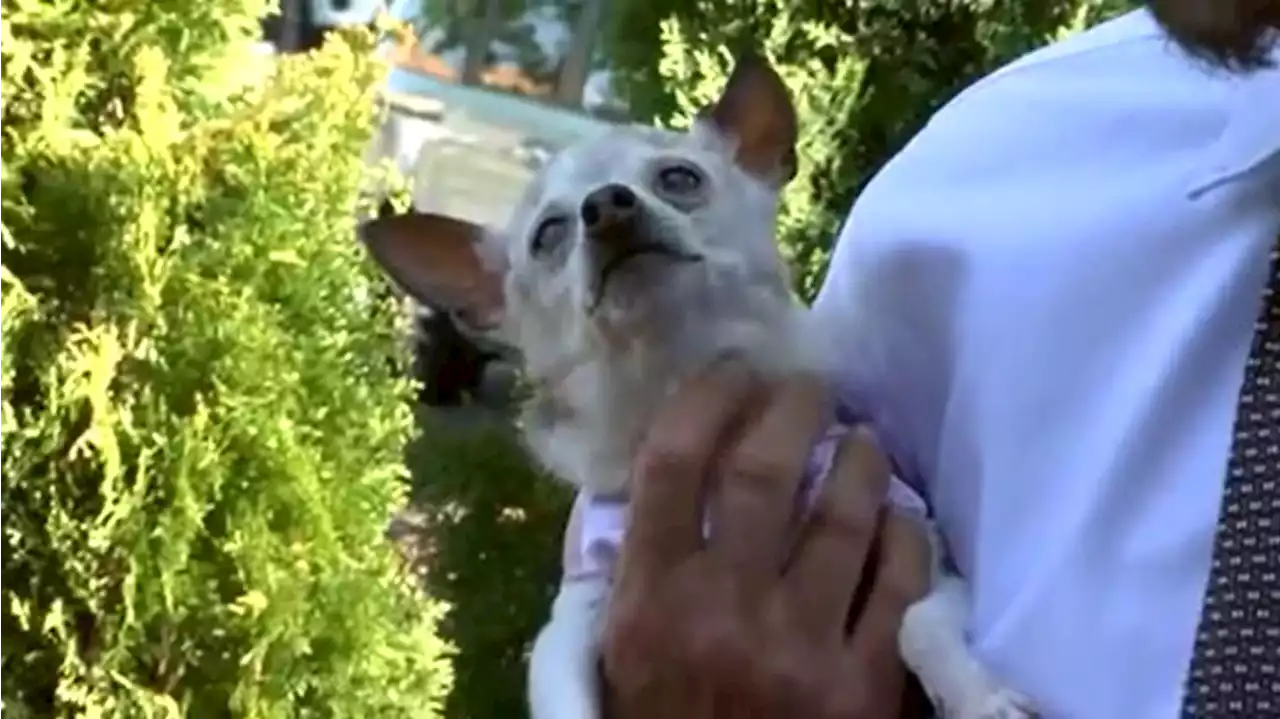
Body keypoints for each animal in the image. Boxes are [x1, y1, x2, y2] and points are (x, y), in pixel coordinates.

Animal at [360, 51, 1039, 716]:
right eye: (548, 236)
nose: (606, 205)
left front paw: (979, 696)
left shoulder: (923, 551)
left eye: (680, 179)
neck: (680, 371)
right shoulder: (577, 616)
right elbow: (563, 696)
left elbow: (920, 620)